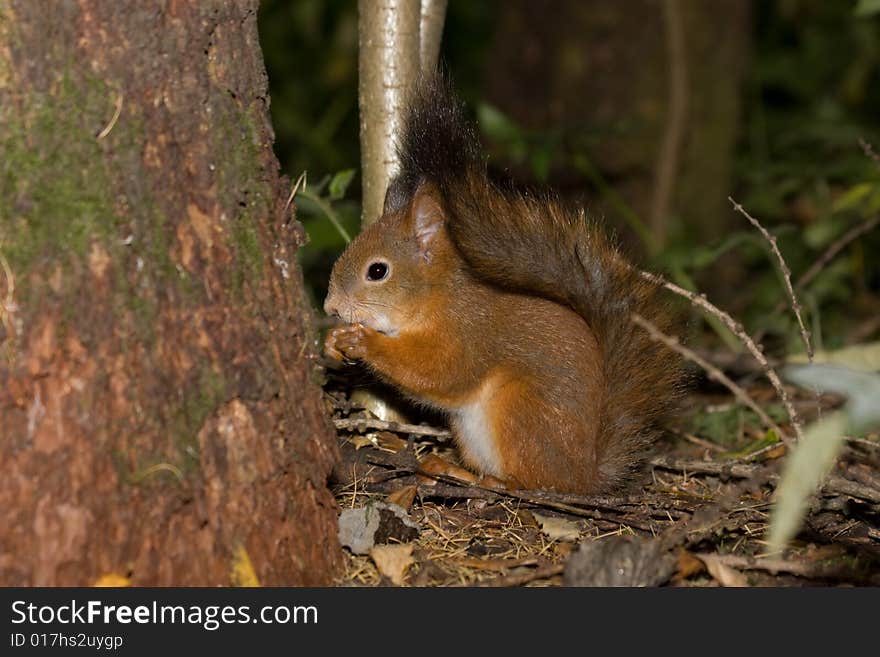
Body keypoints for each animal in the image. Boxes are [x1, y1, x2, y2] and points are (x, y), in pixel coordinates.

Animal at [322, 75, 680, 492]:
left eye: (377, 271)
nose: (330, 307)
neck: (438, 297)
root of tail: (585, 475)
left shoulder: (469, 334)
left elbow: (440, 371)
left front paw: (362, 341)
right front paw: (332, 340)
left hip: (520, 411)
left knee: (527, 482)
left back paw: (494, 483)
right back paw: (452, 470)